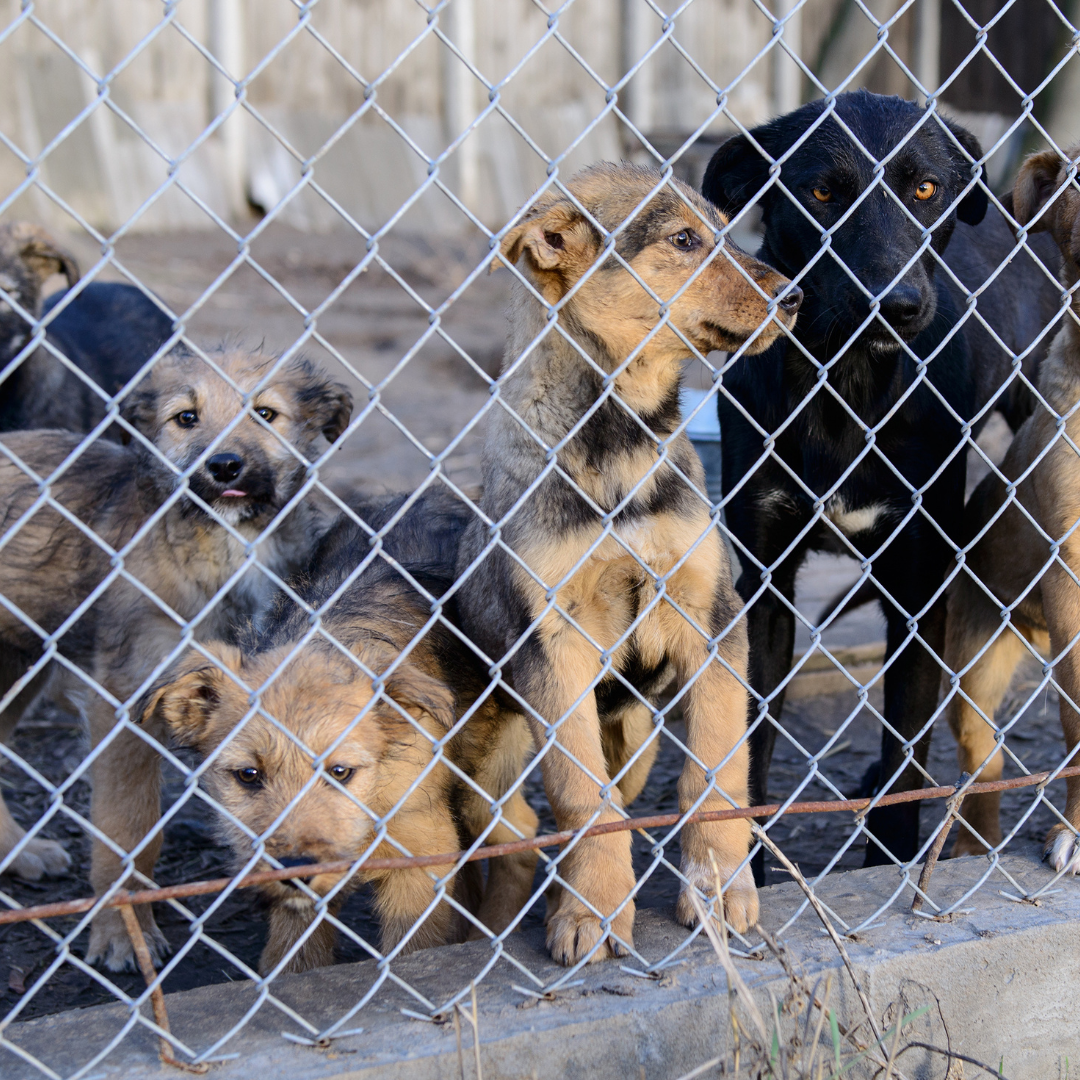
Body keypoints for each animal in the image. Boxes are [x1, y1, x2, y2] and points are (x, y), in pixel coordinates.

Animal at [0, 347, 349, 972]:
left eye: (266, 413)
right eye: (186, 418)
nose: (225, 466)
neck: (230, 546)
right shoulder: (123, 698)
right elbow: (128, 824)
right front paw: (122, 933)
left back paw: (18, 851)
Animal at [141, 492, 537, 980]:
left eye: (341, 772)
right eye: (248, 775)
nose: (292, 870)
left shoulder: (417, 862)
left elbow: (414, 951)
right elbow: (293, 959)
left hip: (485, 783)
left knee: (521, 837)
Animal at [455, 162, 803, 972]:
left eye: (726, 229)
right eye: (683, 240)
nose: (796, 297)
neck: (622, 444)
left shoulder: (714, 617)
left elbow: (715, 771)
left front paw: (720, 890)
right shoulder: (552, 644)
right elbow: (584, 798)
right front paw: (591, 910)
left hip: (636, 723)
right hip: (495, 758)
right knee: (519, 832)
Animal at [699, 88, 1062, 872]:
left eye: (924, 190)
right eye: (822, 193)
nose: (893, 304)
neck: (848, 386)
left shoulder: (918, 584)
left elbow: (906, 753)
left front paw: (892, 866)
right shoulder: (766, 583)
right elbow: (753, 748)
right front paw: (751, 872)